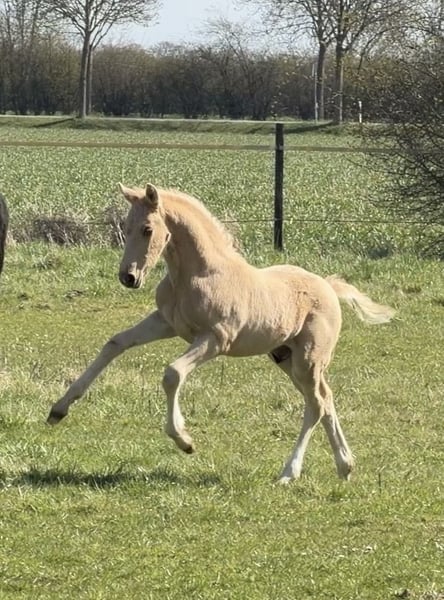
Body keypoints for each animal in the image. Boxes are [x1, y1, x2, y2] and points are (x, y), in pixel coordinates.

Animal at [47, 183, 395, 483]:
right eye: (126, 227)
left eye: (147, 229)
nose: (128, 277)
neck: (197, 273)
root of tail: (329, 286)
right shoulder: (166, 323)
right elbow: (115, 343)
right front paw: (58, 409)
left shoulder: (215, 339)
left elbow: (173, 373)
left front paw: (184, 440)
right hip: (286, 358)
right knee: (324, 398)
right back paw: (345, 466)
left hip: (308, 360)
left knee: (317, 404)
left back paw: (289, 473)